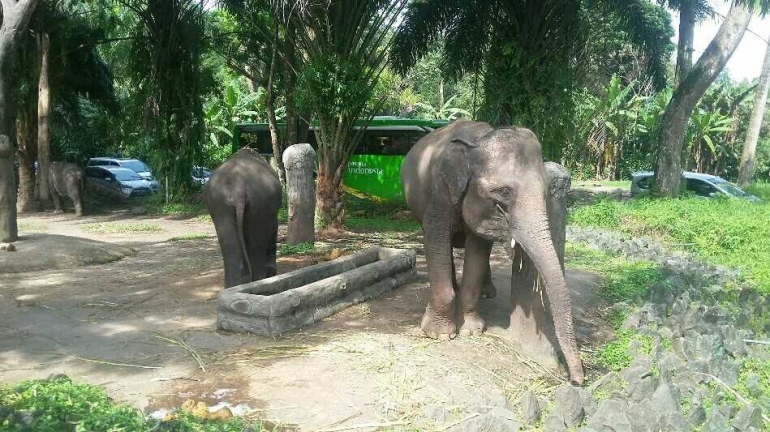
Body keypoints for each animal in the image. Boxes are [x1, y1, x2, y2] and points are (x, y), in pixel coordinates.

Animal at [204, 147, 282, 288]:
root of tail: (238, 184)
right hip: (259, 204)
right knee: (257, 246)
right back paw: (258, 281)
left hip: (220, 204)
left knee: (229, 246)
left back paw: (232, 286)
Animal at [402, 120, 584, 384]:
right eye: (504, 191)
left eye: (545, 192)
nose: (577, 380)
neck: (479, 138)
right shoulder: (438, 195)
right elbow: (436, 240)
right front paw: (440, 335)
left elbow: (478, 247)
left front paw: (472, 331)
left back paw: (487, 292)